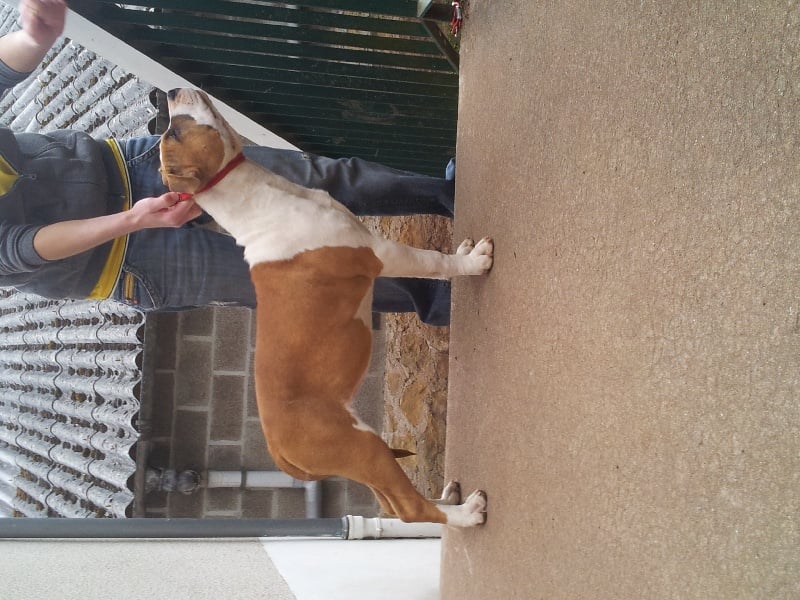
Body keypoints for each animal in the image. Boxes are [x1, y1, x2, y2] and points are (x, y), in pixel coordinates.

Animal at [159, 88, 491, 527]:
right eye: (176, 131)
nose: (166, 93)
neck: (263, 199)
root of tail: (279, 454)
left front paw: (466, 252)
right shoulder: (382, 254)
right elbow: (433, 261)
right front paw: (473, 262)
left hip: (365, 451)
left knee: (393, 504)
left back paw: (449, 500)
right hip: (361, 449)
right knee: (408, 508)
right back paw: (465, 514)